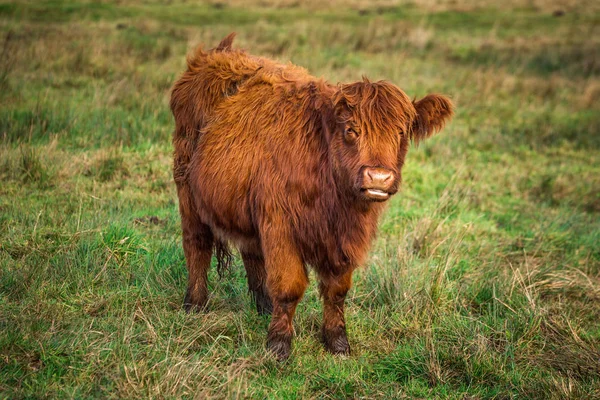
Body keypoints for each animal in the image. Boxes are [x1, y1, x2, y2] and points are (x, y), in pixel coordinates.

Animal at [171, 32, 452, 360]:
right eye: (351, 130)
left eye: (401, 133)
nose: (379, 177)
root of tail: (217, 54)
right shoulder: (280, 226)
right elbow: (289, 286)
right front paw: (279, 345)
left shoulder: (342, 241)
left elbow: (336, 290)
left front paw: (337, 341)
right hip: (187, 190)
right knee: (197, 244)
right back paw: (195, 304)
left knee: (251, 253)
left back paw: (262, 306)